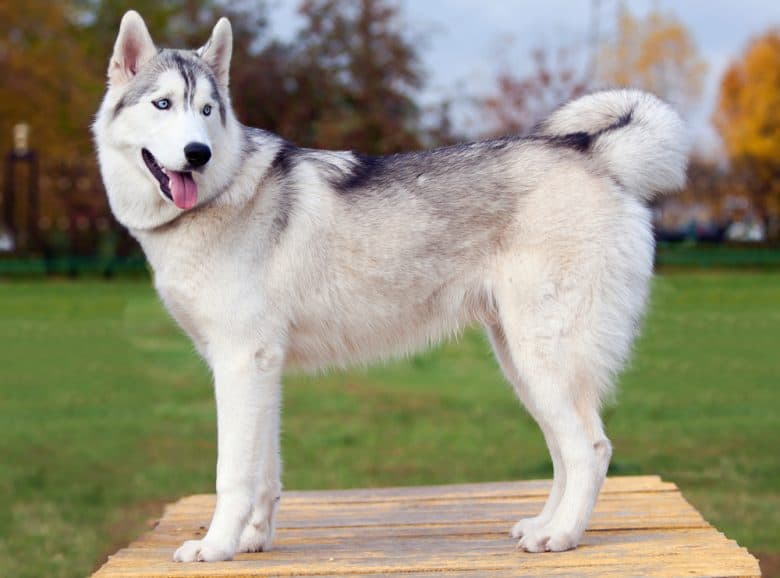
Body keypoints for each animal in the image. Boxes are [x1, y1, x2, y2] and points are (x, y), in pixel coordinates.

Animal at [93, 10, 688, 564]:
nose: (199, 153)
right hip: (523, 364)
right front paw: (253, 540)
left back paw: (562, 537)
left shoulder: (241, 363)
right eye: (163, 105)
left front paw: (216, 547)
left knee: (591, 449)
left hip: (545, 358)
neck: (222, 194)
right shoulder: (259, 370)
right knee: (564, 452)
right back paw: (544, 524)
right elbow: (265, 474)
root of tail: (592, 153)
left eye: (206, 111)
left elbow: (232, 475)